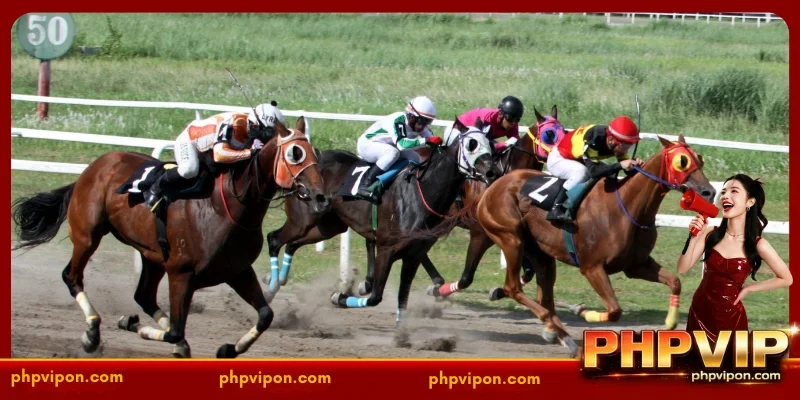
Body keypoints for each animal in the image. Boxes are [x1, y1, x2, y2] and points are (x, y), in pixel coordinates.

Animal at [11, 117, 330, 358]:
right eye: (295, 154)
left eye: (315, 152)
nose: (321, 197)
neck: (227, 208)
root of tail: (93, 167)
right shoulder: (181, 273)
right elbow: (177, 329)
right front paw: (132, 325)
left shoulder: (237, 270)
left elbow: (265, 315)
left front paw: (228, 348)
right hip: (88, 235)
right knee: (72, 276)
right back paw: (92, 332)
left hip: (151, 255)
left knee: (143, 295)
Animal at [264, 118, 500, 324]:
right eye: (471, 144)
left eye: (490, 144)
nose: (492, 172)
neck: (422, 192)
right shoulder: (386, 249)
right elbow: (375, 297)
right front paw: (339, 296)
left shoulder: (414, 254)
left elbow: (402, 299)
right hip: (302, 220)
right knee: (274, 238)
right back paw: (271, 288)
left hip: (328, 226)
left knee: (291, 243)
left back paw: (278, 281)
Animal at [471, 134, 715, 357]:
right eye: (682, 161)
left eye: (699, 159)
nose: (709, 191)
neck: (626, 208)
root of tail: (494, 185)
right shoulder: (592, 267)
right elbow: (615, 311)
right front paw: (583, 311)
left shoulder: (636, 265)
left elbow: (675, 282)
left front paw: (671, 322)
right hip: (511, 238)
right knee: (513, 288)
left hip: (541, 253)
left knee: (544, 296)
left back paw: (566, 340)